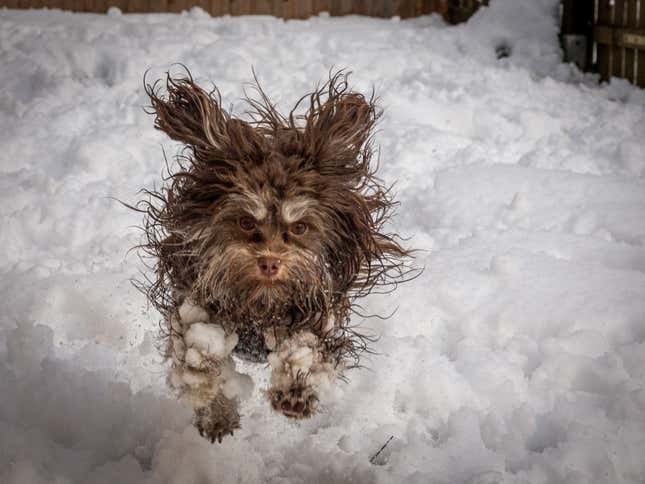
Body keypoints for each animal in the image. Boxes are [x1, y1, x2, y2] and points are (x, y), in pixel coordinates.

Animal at [133, 69, 410, 442]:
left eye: (300, 227)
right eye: (246, 221)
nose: (269, 262)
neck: (261, 305)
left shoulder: (317, 315)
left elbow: (305, 351)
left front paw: (296, 392)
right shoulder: (193, 303)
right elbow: (199, 354)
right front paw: (213, 406)